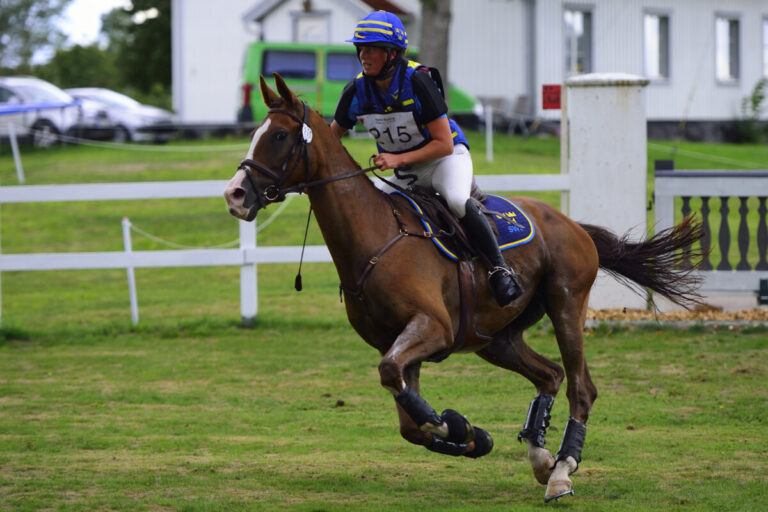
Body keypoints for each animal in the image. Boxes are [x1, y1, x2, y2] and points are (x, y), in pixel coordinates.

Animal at [222, 74, 704, 502]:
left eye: (280, 136)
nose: (235, 195)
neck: (374, 238)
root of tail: (572, 224)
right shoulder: (398, 342)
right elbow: (408, 419)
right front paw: (470, 436)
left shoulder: (431, 328)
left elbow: (400, 389)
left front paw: (456, 426)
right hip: (495, 338)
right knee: (549, 374)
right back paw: (540, 459)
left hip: (566, 305)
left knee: (580, 387)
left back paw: (562, 472)